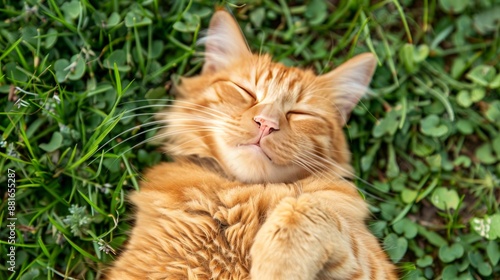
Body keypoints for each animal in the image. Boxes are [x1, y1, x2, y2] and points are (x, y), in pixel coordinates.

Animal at [106, 9, 398, 280]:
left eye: (300, 113)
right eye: (246, 92)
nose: (266, 123)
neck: (240, 197)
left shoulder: (375, 265)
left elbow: (306, 208)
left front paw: (277, 263)